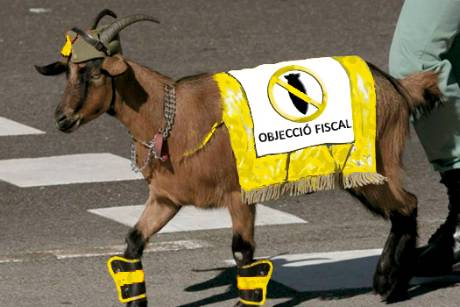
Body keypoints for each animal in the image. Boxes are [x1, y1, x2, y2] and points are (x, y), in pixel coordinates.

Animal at [35, 12, 438, 307]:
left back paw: (391, 284)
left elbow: (244, 255)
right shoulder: (166, 199)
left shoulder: (239, 195)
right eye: (68, 72)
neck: (172, 116)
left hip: (372, 163)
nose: (61, 118)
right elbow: (133, 241)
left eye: (96, 73)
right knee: (402, 210)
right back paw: (391, 282)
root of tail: (398, 88)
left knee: (407, 206)